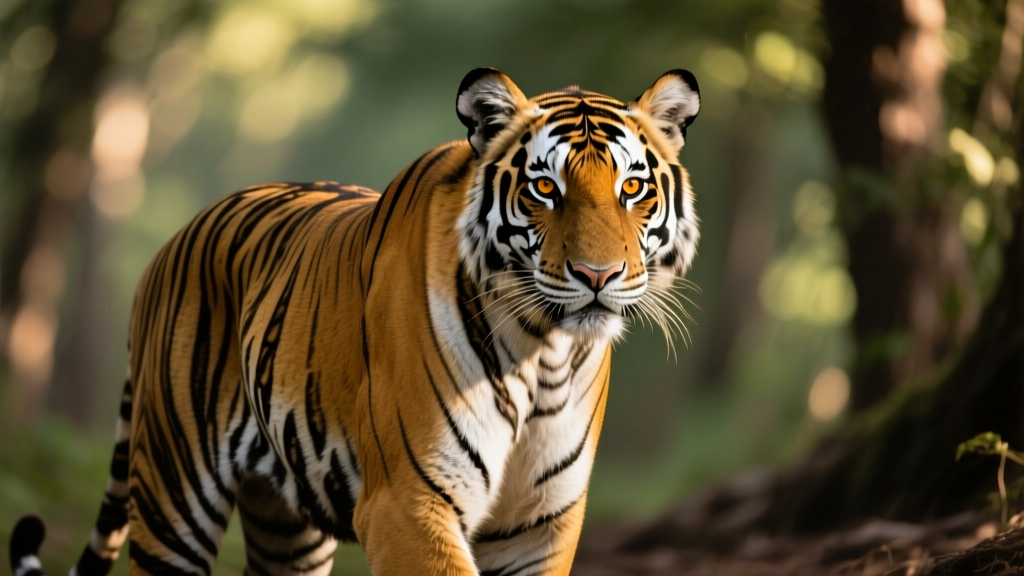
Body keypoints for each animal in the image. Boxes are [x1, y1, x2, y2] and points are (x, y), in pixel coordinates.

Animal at [9, 66, 701, 576]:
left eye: (633, 188)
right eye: (545, 189)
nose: (598, 275)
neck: (546, 353)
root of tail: (166, 247)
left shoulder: (540, 526)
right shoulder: (408, 503)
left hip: (286, 527)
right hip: (171, 497)